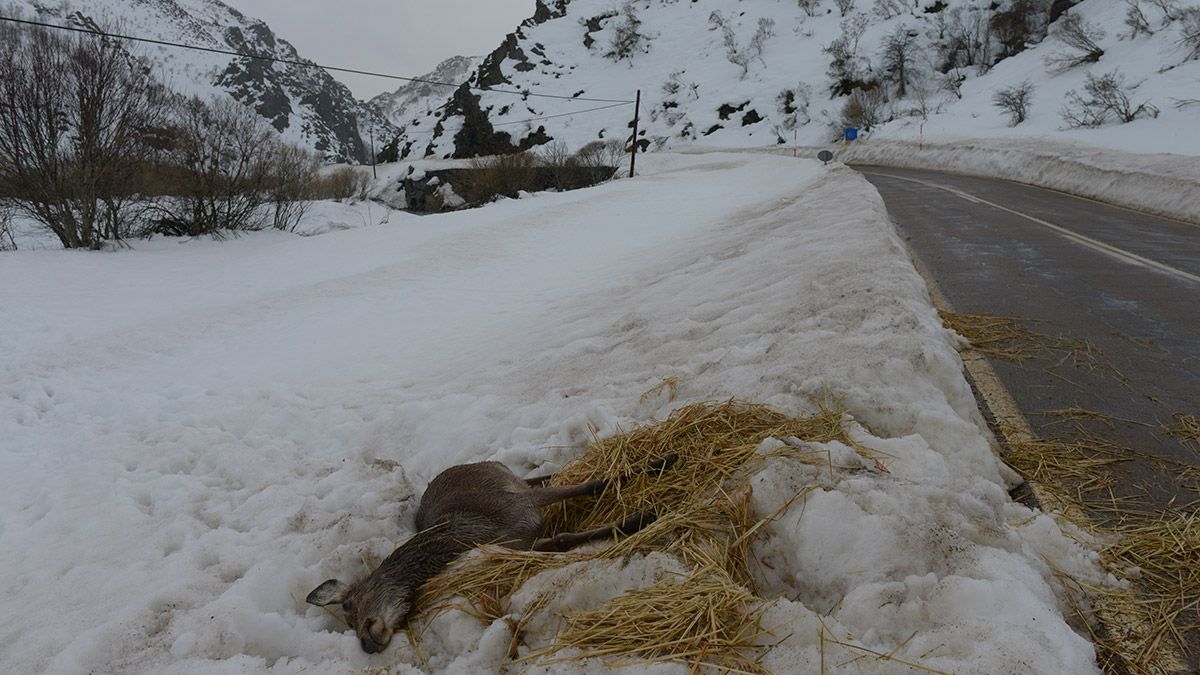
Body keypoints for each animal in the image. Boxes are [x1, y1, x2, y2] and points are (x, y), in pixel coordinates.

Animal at [304, 451, 676, 653]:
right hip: (517, 482)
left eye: (350, 605)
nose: (367, 642)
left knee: (554, 476)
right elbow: (562, 539)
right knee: (546, 475)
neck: (470, 535)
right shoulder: (522, 541)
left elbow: (593, 485)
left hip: (514, 483)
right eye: (347, 619)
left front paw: (655, 485)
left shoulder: (521, 505)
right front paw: (639, 518)